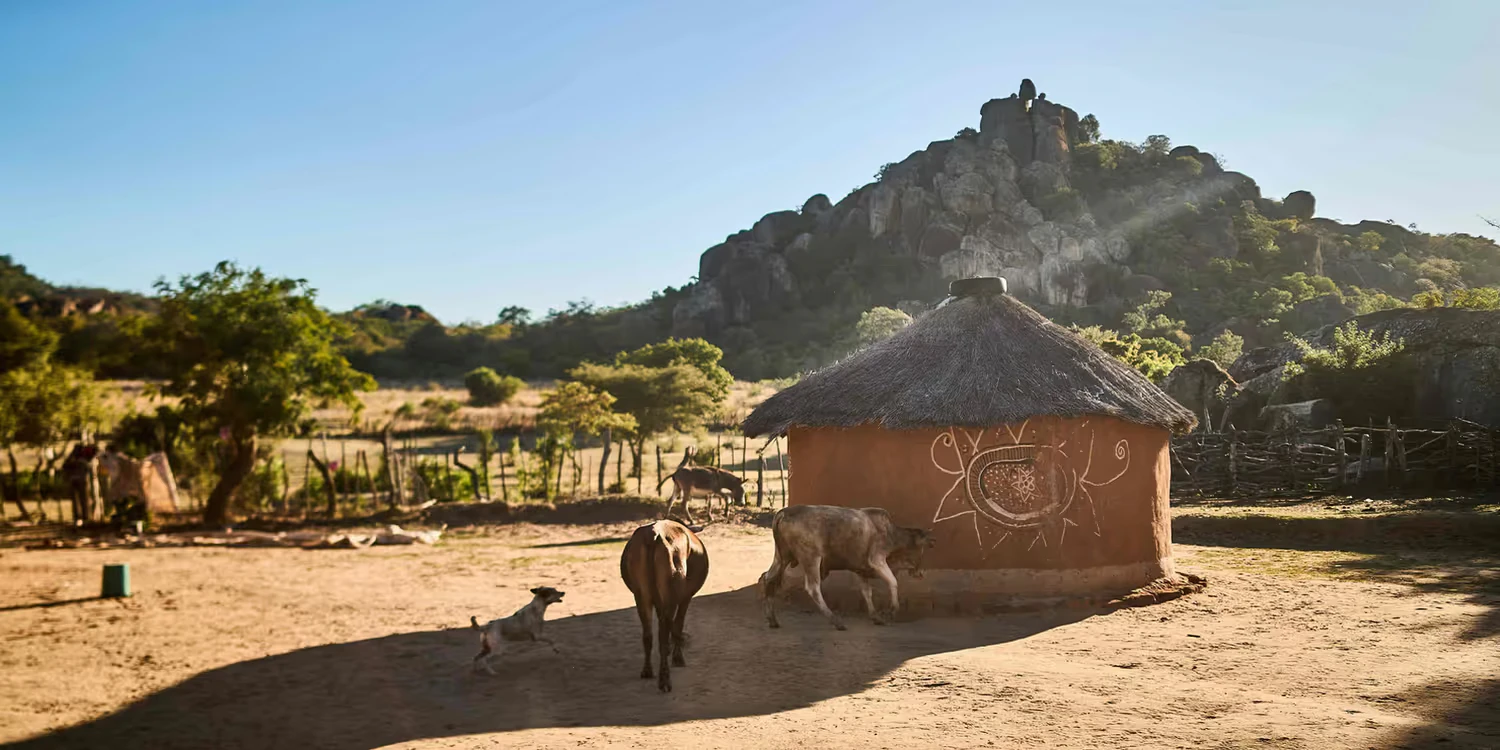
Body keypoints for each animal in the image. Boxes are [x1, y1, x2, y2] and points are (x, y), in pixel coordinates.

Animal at [619, 519, 710, 693]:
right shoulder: (685, 597)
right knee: (664, 634)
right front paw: (678, 658)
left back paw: (648, 671)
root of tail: (655, 534)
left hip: (642, 596)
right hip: (670, 597)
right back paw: (665, 680)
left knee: (648, 635)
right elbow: (678, 626)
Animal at [758, 505, 936, 631]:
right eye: (922, 549)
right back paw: (836, 621)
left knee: (768, 578)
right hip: (811, 557)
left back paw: (772, 619)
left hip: (782, 557)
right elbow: (893, 582)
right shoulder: (877, 560)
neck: (892, 534)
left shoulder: (861, 569)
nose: (920, 572)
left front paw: (876, 617)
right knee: (813, 588)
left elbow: (867, 592)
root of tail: (784, 512)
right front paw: (891, 611)